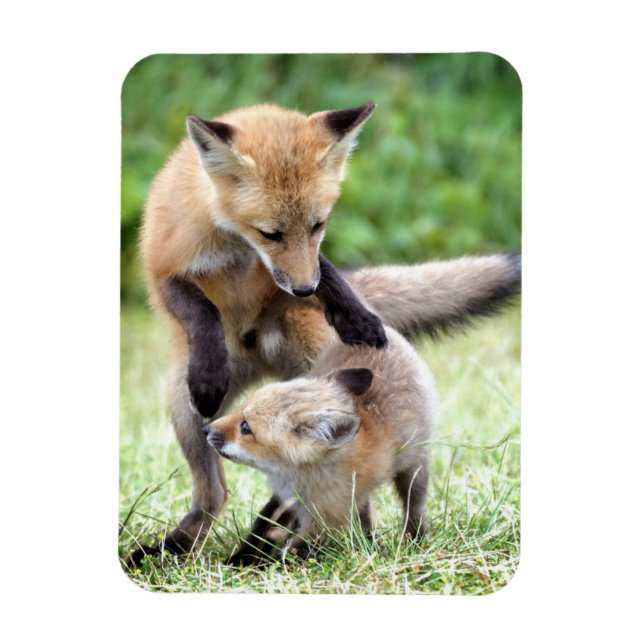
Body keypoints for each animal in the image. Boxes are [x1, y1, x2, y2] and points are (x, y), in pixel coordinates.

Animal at [203, 325, 438, 565]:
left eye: (245, 427)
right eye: (240, 408)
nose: (206, 429)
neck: (299, 477)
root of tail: (390, 333)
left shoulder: (326, 519)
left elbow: (293, 551)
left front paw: (266, 564)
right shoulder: (286, 498)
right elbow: (262, 526)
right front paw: (241, 558)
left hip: (414, 469)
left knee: (414, 504)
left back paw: (414, 537)